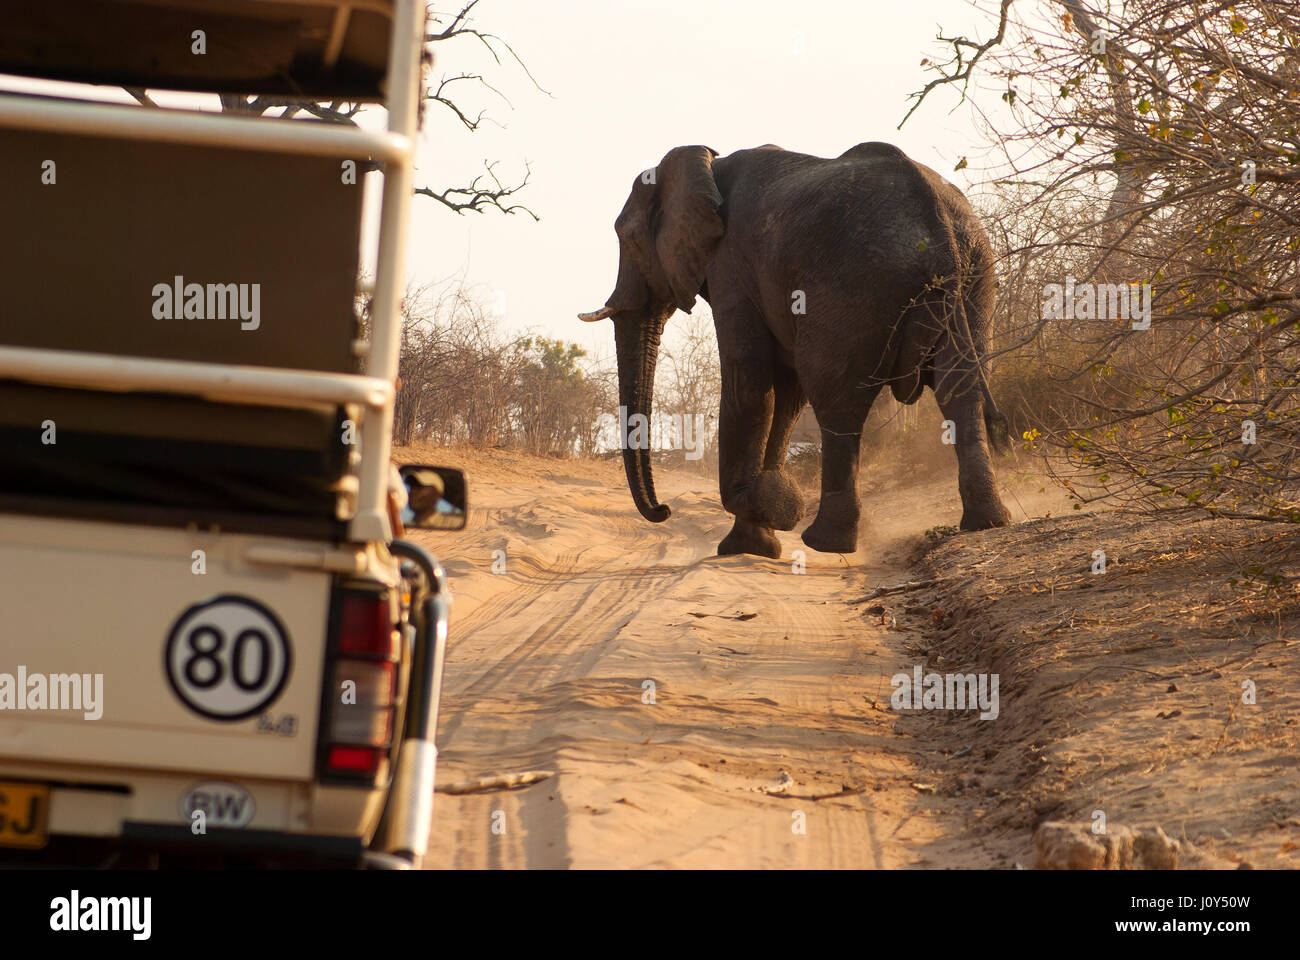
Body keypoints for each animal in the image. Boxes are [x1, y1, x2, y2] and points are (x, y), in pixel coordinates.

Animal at [579, 139, 1013, 556]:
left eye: (627, 238)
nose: (664, 510)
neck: (707, 163)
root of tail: (938, 221)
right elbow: (786, 392)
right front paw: (757, 542)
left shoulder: (731, 265)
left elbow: (750, 379)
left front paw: (766, 510)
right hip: (977, 278)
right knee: (961, 390)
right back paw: (987, 522)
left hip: (852, 285)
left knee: (836, 396)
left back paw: (824, 542)